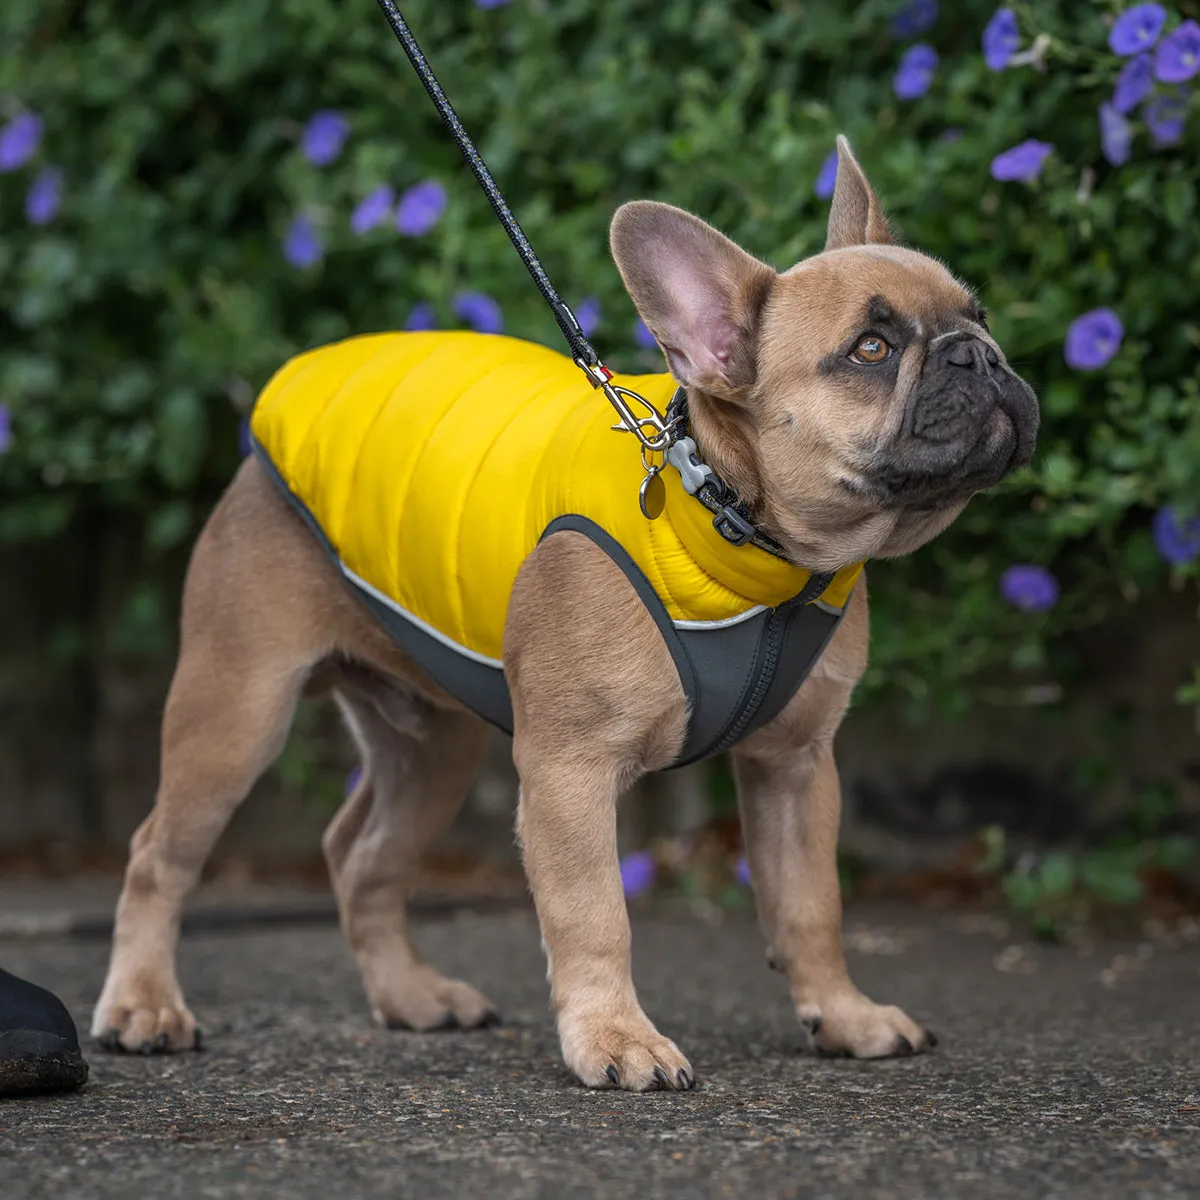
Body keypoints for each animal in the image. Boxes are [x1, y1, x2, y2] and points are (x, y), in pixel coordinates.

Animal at [93, 138, 1036, 1089]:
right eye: (871, 349)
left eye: (979, 313)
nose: (977, 355)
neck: (737, 532)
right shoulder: (568, 774)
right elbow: (594, 915)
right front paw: (617, 1039)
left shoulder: (797, 769)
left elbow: (813, 903)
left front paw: (844, 1016)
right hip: (237, 709)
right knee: (158, 854)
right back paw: (143, 1006)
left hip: (432, 744)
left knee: (361, 857)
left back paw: (412, 997)